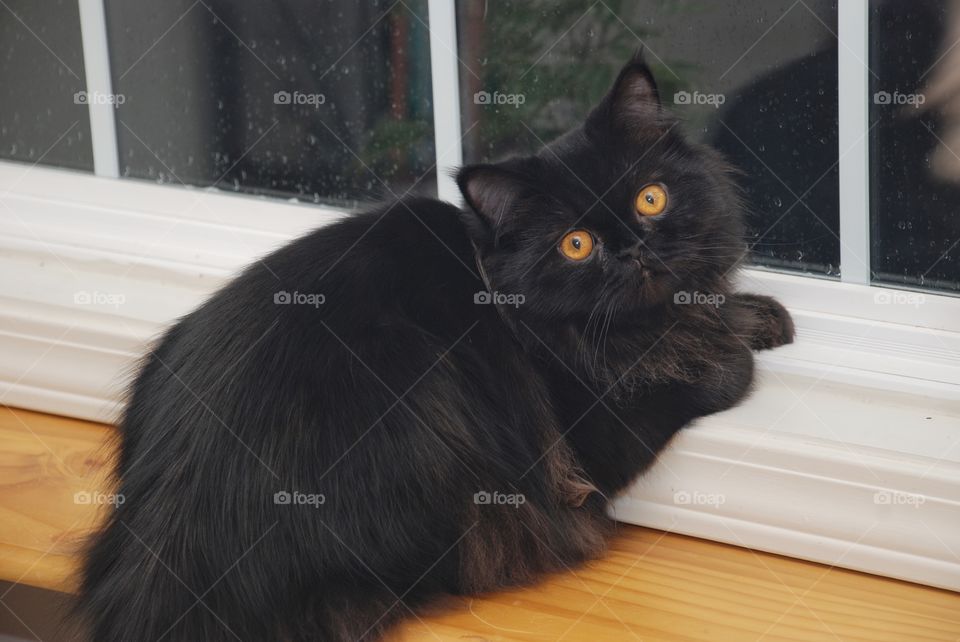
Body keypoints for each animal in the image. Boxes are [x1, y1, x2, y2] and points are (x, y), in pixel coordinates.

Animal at [75, 55, 796, 640]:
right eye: (576, 244)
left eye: (651, 198)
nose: (632, 251)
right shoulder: (592, 436)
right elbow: (705, 372)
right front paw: (732, 349)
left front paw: (760, 316)